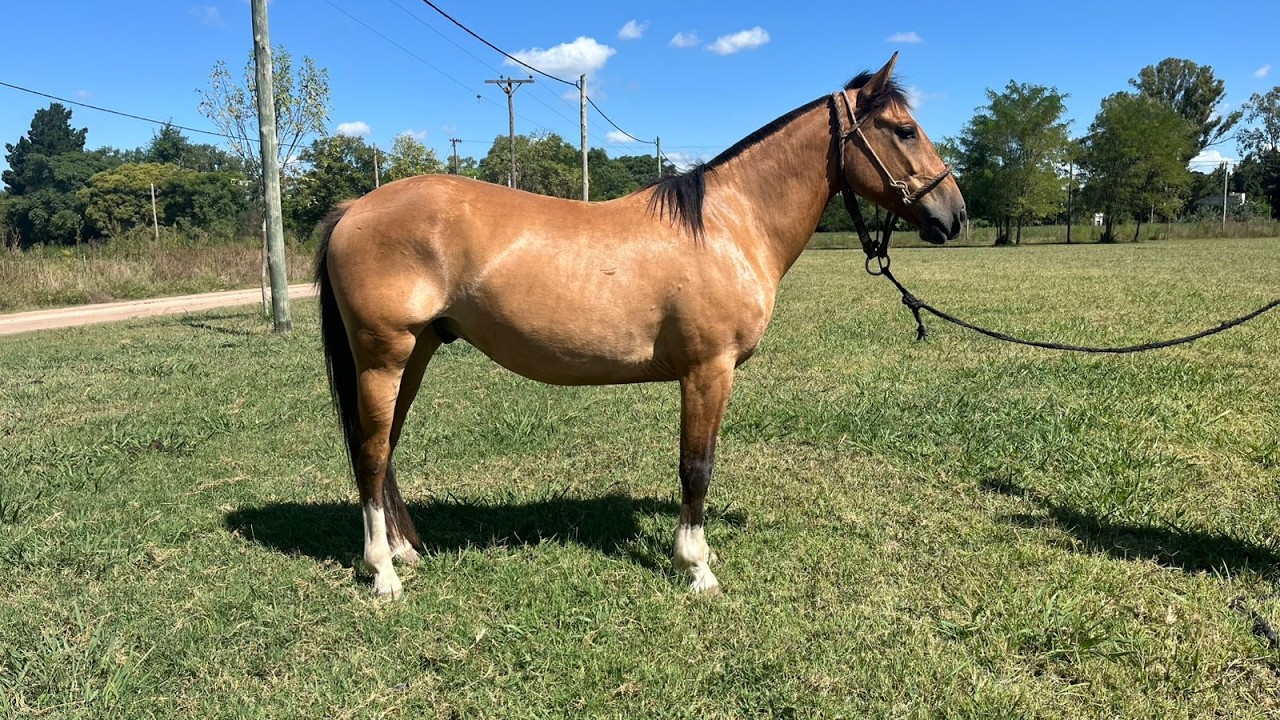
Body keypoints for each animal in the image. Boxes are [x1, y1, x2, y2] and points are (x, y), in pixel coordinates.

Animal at [314, 54, 967, 598]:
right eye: (904, 130)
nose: (955, 215)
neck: (728, 224)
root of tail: (354, 210)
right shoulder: (708, 371)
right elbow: (696, 466)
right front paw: (696, 567)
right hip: (384, 356)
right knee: (371, 453)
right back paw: (383, 573)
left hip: (416, 352)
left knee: (386, 449)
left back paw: (404, 550)